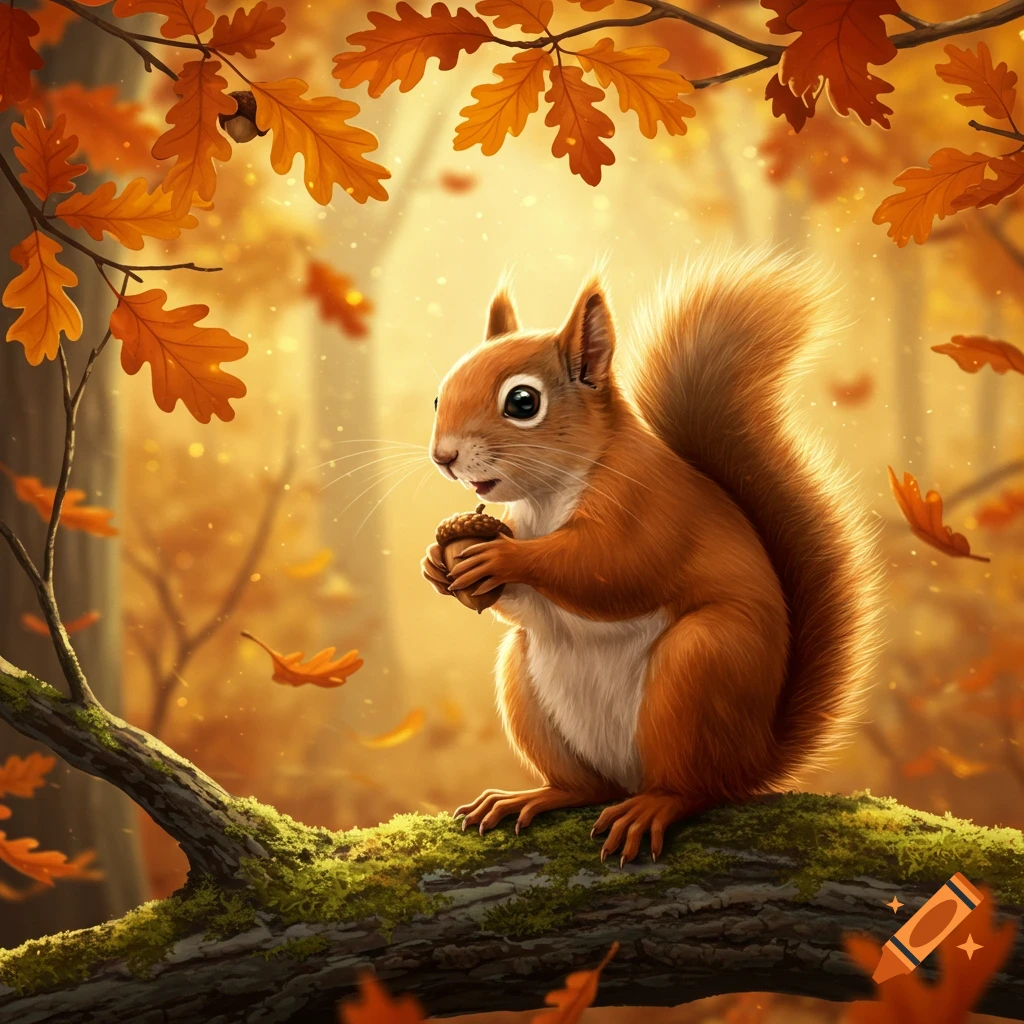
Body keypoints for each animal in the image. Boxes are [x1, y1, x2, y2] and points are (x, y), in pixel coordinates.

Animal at [421, 248, 882, 865]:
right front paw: (437, 562)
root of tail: (755, 757)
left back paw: (653, 808)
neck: (549, 497)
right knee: (587, 786)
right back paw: (534, 796)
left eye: (522, 402)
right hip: (527, 688)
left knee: (693, 788)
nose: (443, 456)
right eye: (439, 395)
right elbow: (521, 607)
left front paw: (501, 561)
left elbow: (610, 570)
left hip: (699, 669)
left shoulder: (649, 510)